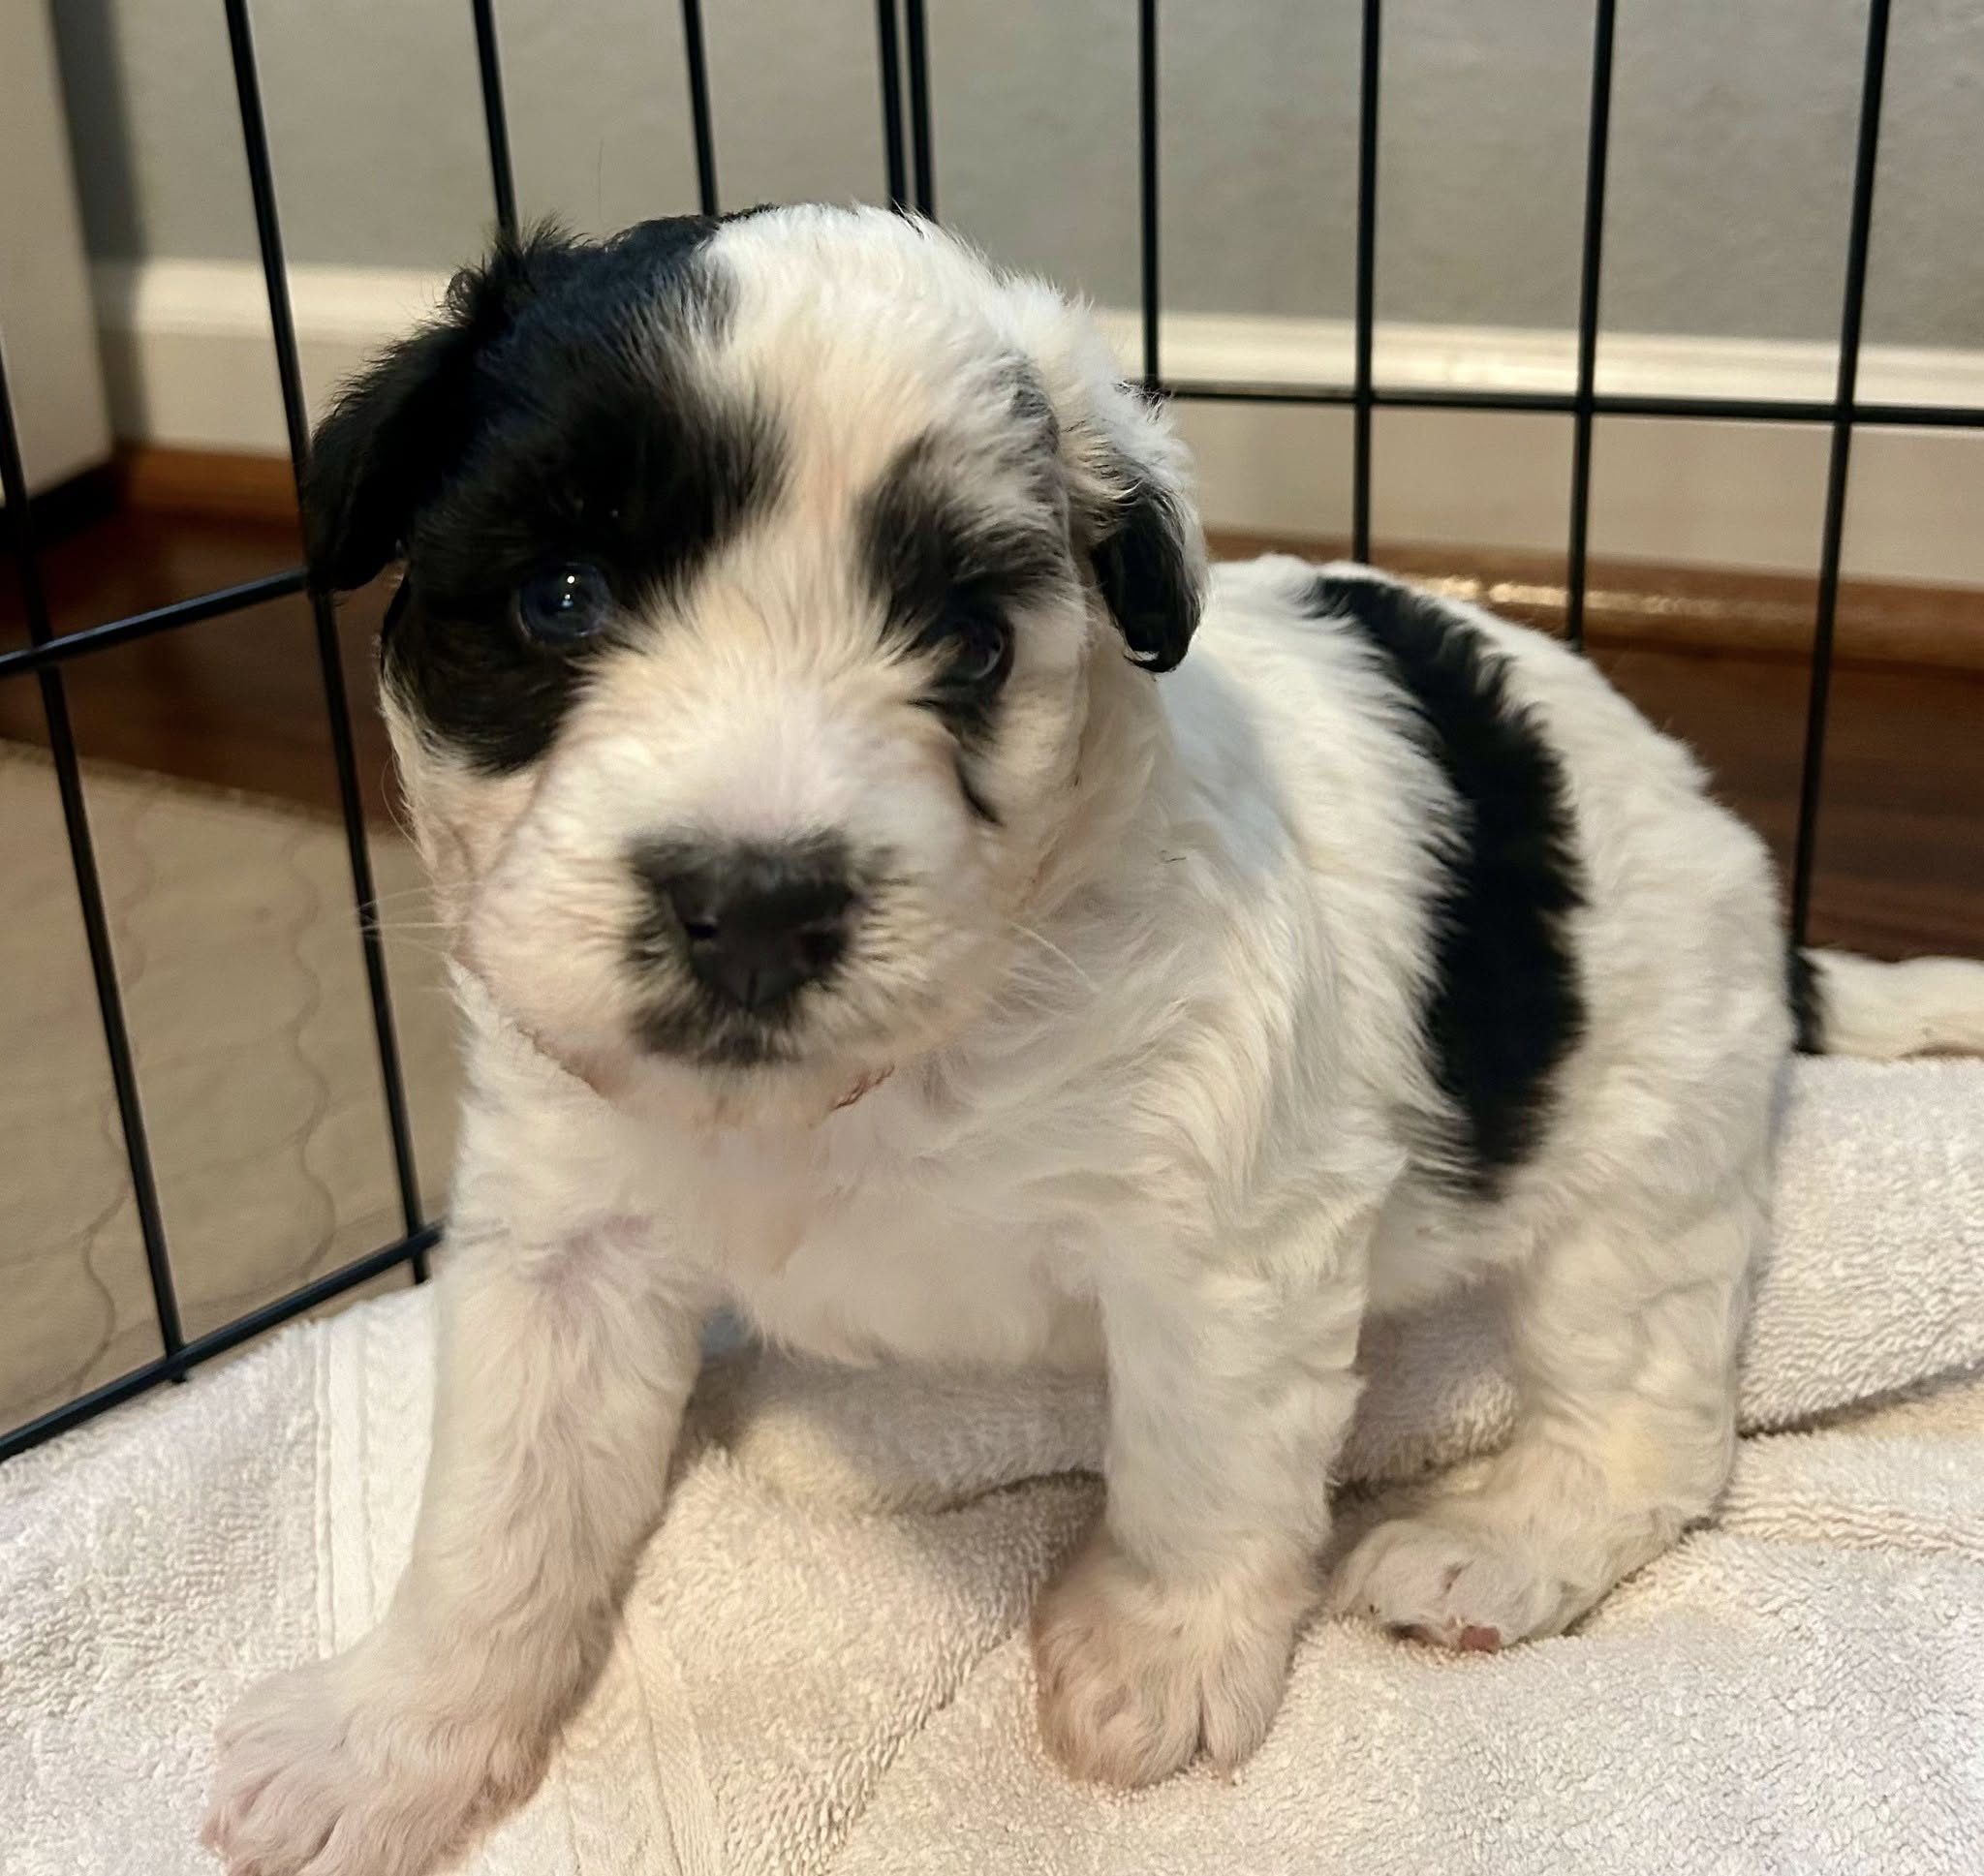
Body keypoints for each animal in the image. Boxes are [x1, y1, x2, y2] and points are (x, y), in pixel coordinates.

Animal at [204, 203, 1984, 1871]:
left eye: (970, 645)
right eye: (558, 598)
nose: (758, 905)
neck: (867, 1085)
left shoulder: (1229, 1225)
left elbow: (1202, 1454)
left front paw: (1161, 1649)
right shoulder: (560, 1229)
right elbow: (500, 1509)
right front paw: (388, 1738)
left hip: (1638, 1147)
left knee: (1649, 1414)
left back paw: (1495, 1541)